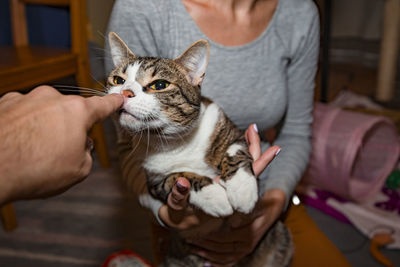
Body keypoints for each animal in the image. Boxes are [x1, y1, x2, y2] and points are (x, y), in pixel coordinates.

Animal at [106, 31, 294, 267]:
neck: (177, 142)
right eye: (118, 80)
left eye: (159, 85)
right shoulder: (153, 181)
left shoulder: (233, 133)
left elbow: (237, 153)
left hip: (281, 238)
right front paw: (214, 196)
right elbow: (177, 176)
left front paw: (243, 190)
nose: (125, 92)